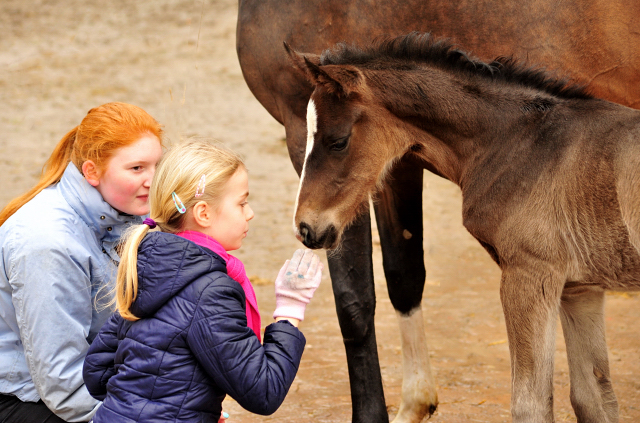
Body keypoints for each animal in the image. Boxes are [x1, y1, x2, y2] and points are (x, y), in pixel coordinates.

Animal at [236, 1, 640, 422]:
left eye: (339, 141)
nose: (306, 228)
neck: (523, 139)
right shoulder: (579, 287)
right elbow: (594, 397)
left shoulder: (530, 275)